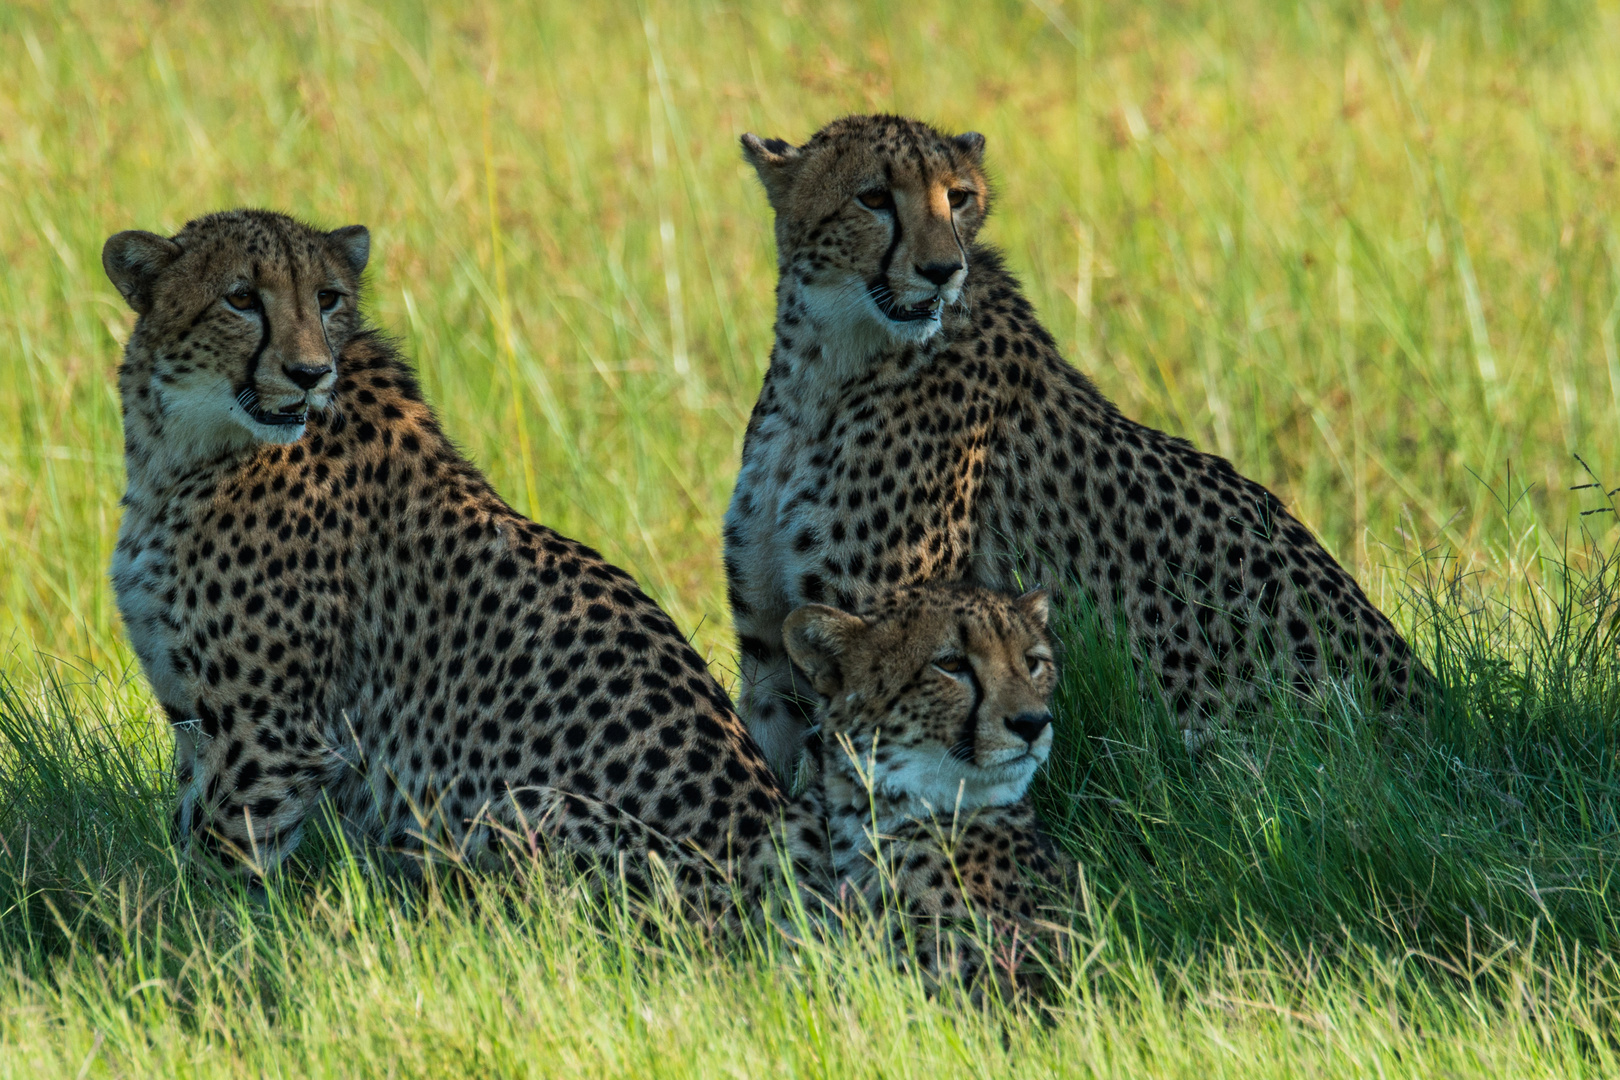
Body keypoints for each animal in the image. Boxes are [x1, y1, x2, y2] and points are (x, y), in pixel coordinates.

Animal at [102, 210, 816, 906]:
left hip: (526, 808)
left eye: (327, 298)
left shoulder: (270, 736)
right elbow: (187, 830)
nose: (310, 373)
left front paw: (182, 931)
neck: (182, 447)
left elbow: (215, 867)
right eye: (242, 298)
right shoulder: (199, 719)